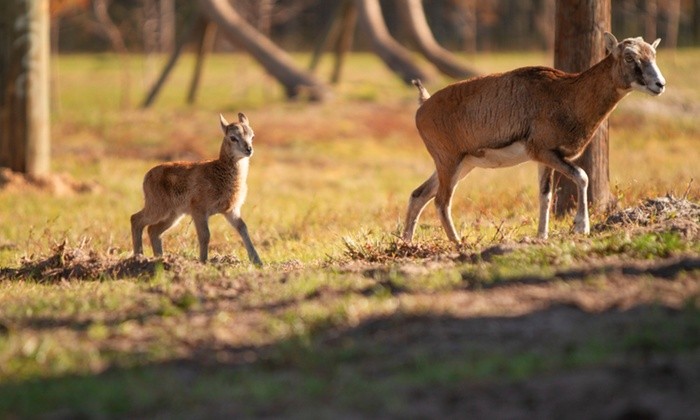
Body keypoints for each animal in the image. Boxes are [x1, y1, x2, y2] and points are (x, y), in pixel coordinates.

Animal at [131, 111, 262, 262]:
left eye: (252, 136)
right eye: (233, 137)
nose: (249, 149)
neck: (219, 172)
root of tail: (146, 176)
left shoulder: (231, 210)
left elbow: (243, 228)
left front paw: (258, 261)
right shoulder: (199, 209)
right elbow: (205, 235)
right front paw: (203, 261)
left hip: (173, 214)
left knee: (153, 230)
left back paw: (159, 258)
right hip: (157, 207)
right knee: (136, 219)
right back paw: (139, 257)